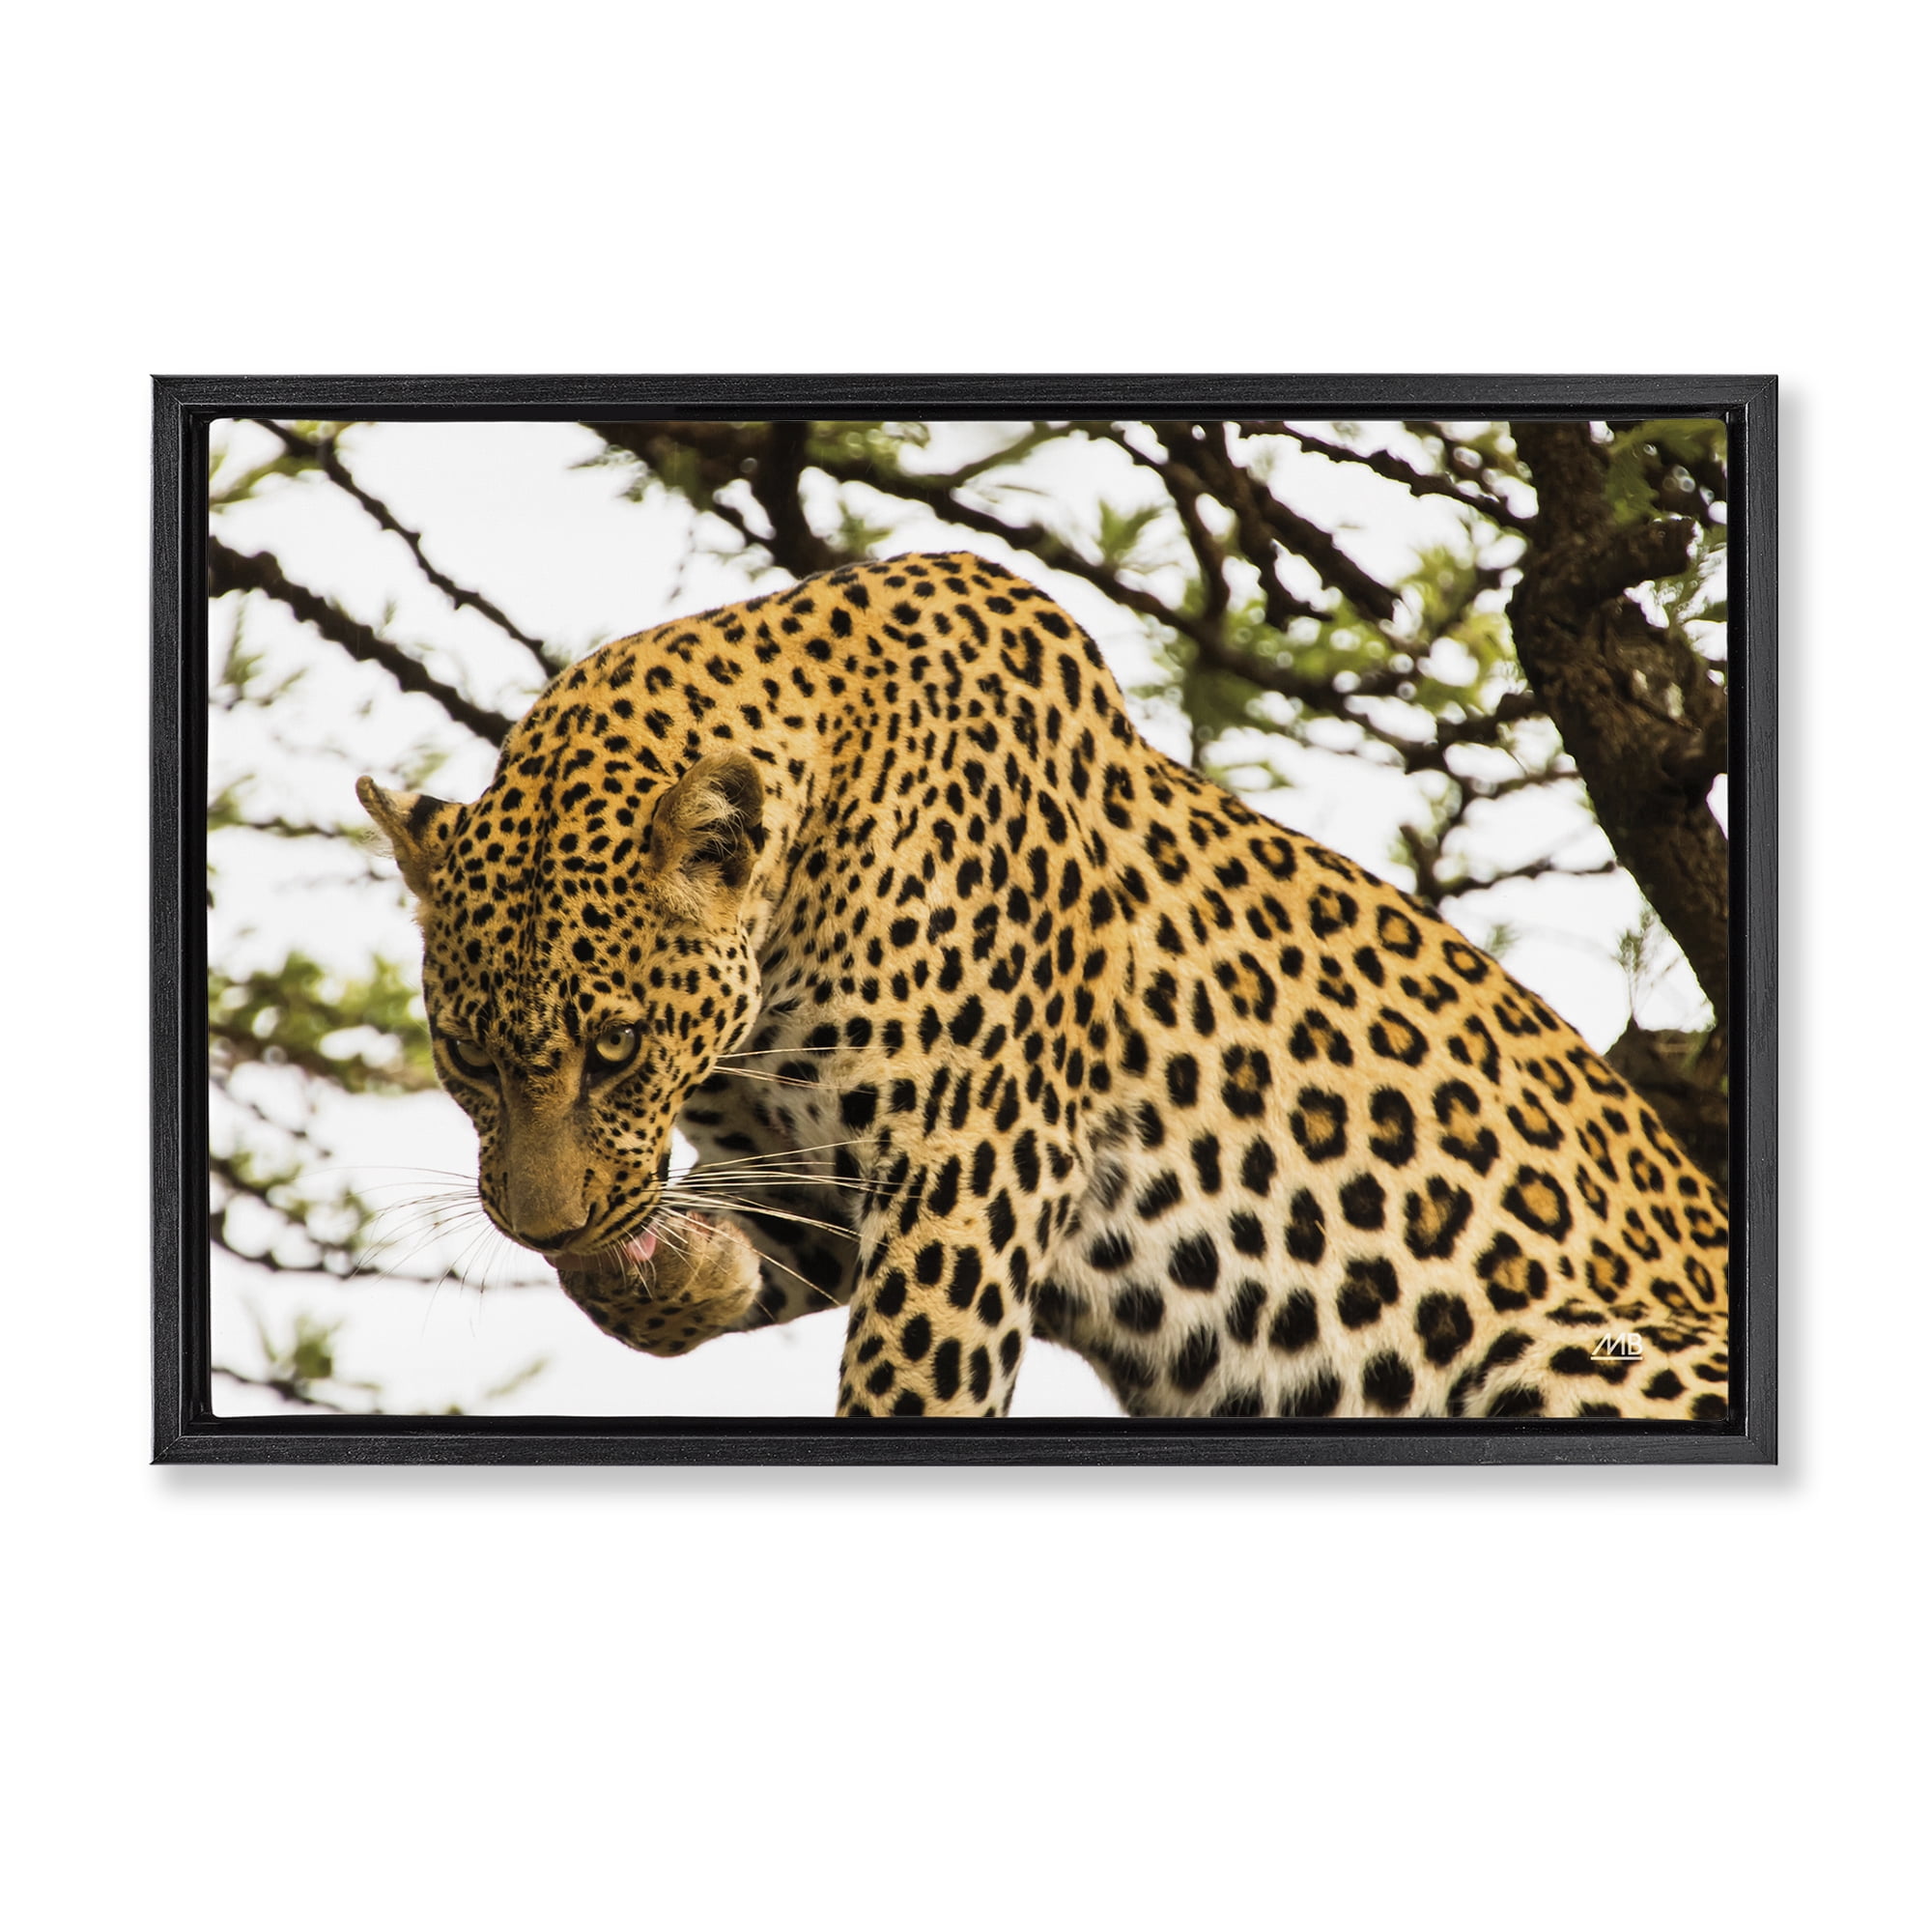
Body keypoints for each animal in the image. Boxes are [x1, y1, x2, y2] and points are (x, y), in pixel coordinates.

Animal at [358, 549, 1730, 1420]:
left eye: (616, 1048)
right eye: (466, 1056)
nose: (541, 1227)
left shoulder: (969, 1167)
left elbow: (911, 1386)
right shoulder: (814, 1175)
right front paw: (669, 1269)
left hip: (1568, 1345)